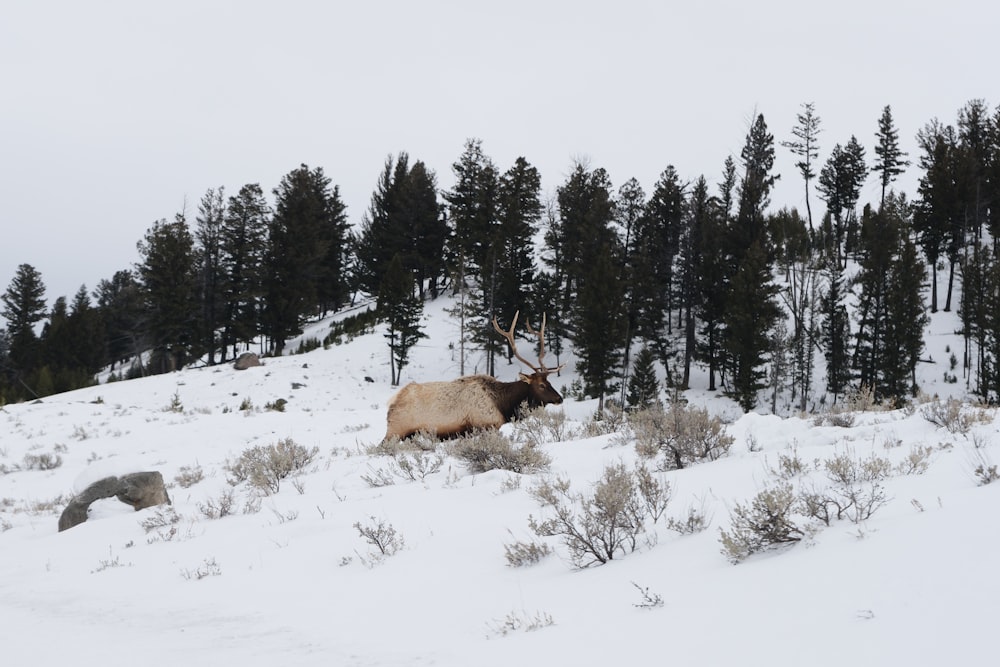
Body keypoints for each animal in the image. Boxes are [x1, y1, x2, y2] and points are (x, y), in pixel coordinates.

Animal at [384, 314, 564, 444]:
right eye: (541, 385)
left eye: (549, 382)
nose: (560, 398)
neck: (503, 405)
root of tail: (392, 401)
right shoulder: (486, 425)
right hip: (396, 430)